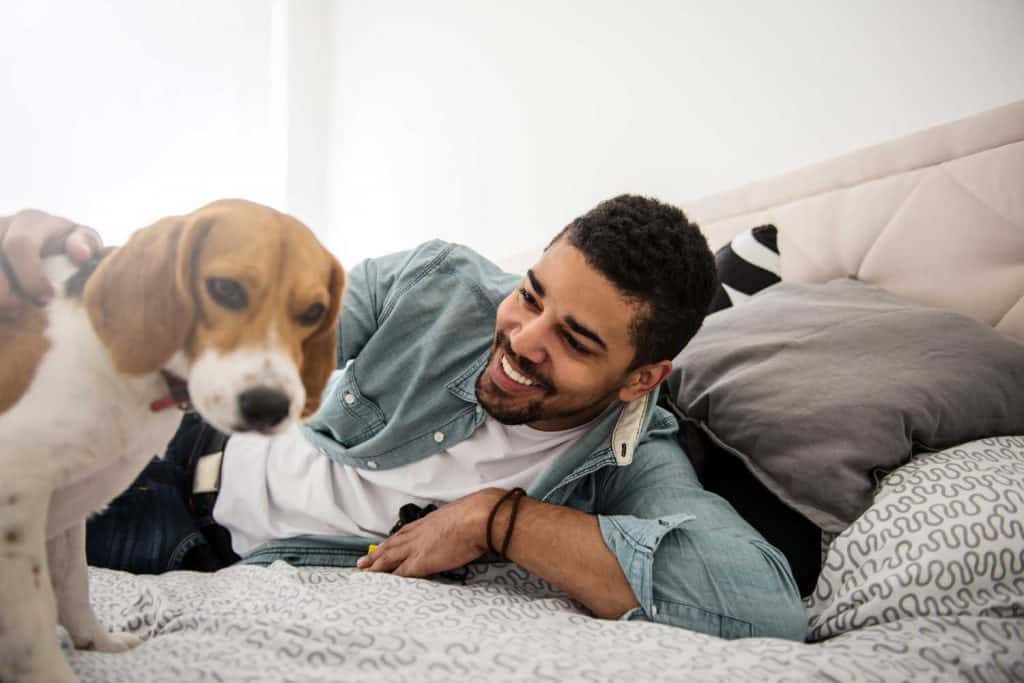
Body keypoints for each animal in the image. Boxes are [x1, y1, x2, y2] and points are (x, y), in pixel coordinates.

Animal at [0, 198, 346, 683]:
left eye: (314, 312)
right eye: (225, 289)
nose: (269, 406)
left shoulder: (67, 507)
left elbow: (72, 585)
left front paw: (96, 642)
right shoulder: (16, 504)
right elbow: (33, 627)